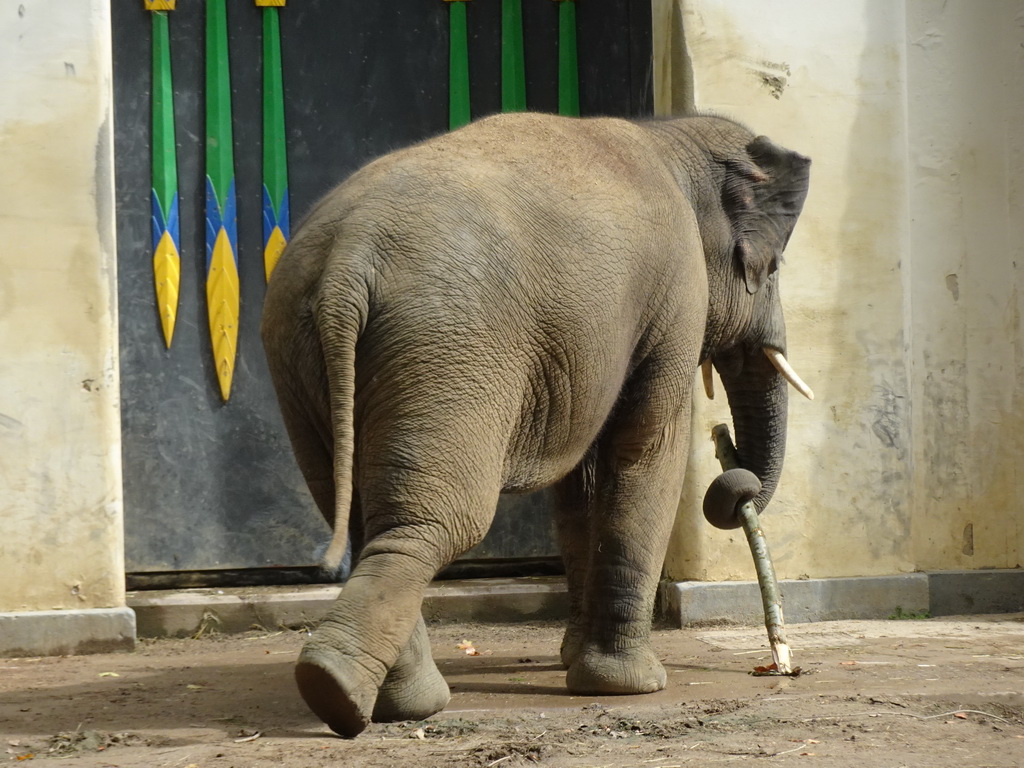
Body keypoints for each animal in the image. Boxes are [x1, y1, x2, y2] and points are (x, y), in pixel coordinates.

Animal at [260, 111, 811, 737]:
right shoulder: (675, 293)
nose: (731, 470)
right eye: (771, 270)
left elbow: (580, 485)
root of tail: (347, 260)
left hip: (299, 353)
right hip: (445, 346)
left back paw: (381, 700)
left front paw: (575, 660)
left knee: (366, 520)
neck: (671, 138)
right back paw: (349, 693)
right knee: (441, 521)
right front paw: (629, 686)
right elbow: (646, 450)